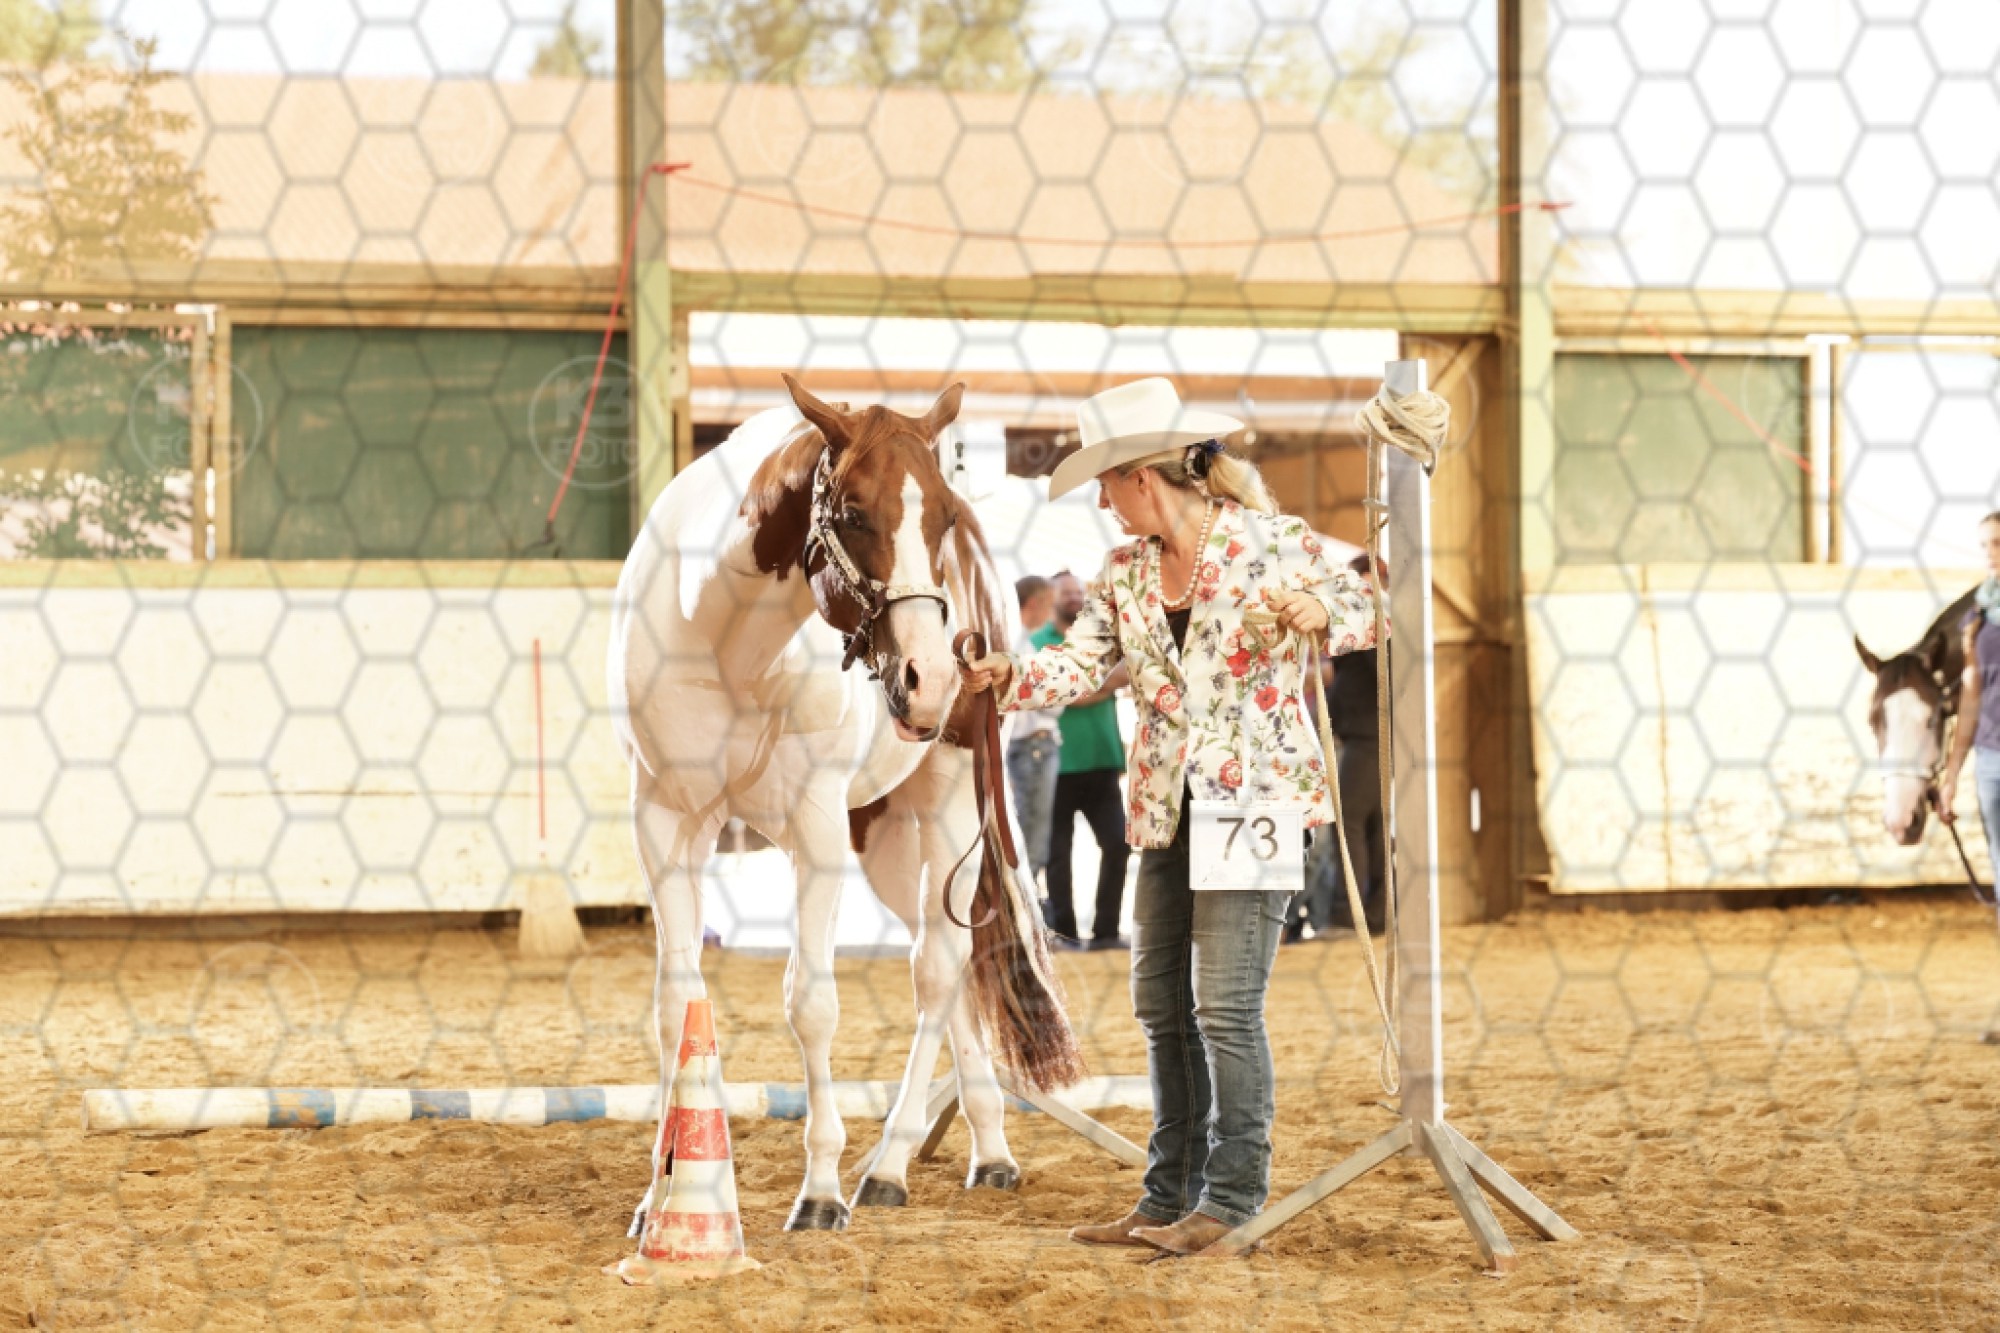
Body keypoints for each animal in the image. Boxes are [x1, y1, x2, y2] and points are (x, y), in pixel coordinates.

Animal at [608, 375, 1083, 1237]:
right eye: (856, 513)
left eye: (940, 516)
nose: (931, 675)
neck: (728, 644)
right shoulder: (662, 822)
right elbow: (674, 1002)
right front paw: (665, 1196)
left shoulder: (817, 833)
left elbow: (812, 1002)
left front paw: (820, 1188)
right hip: (887, 839)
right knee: (948, 966)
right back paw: (989, 1145)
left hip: (947, 802)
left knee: (938, 966)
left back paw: (889, 1165)